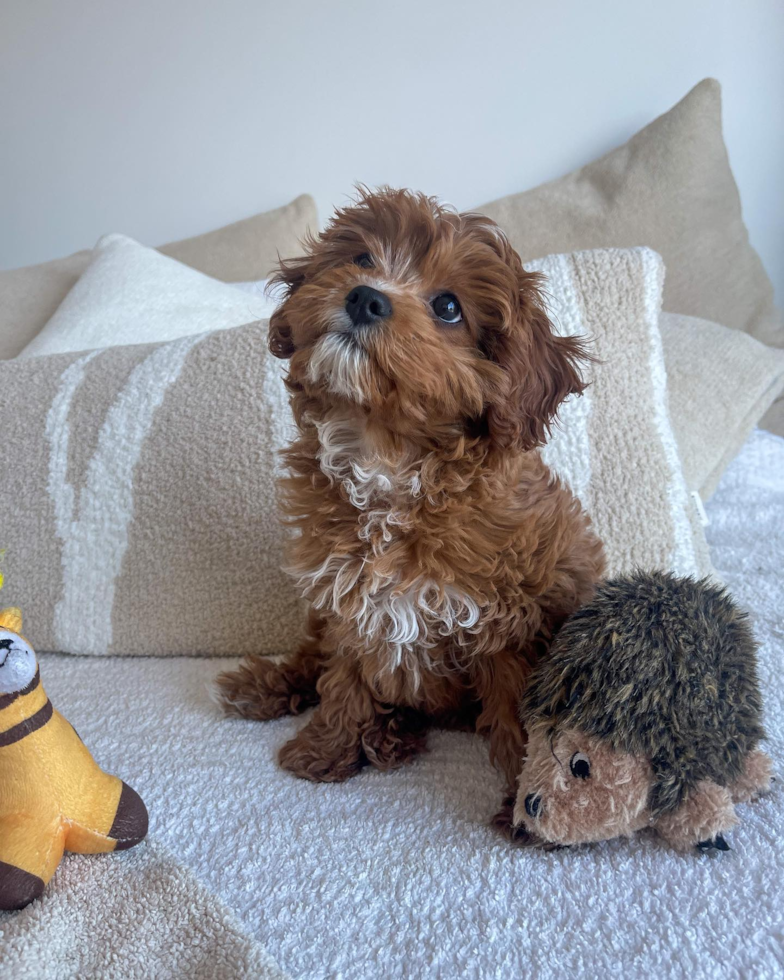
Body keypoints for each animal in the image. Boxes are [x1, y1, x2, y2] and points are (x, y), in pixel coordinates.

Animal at [217, 186, 604, 812]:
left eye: (448, 307)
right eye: (362, 259)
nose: (365, 296)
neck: (389, 458)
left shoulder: (507, 622)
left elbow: (515, 709)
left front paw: (526, 805)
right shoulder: (346, 600)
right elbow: (343, 678)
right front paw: (325, 751)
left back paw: (390, 736)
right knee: (310, 658)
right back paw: (267, 689)